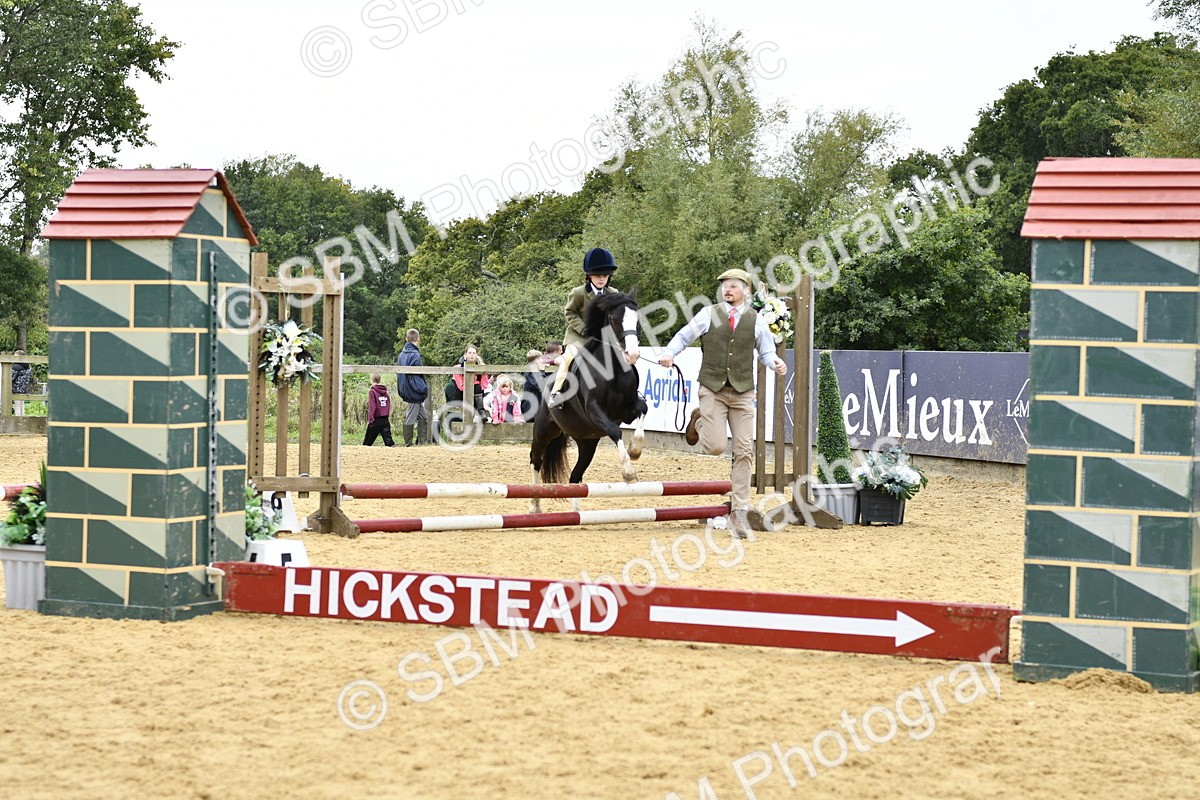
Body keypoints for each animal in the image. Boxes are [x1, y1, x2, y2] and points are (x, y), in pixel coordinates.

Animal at [529, 291, 648, 512]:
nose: (633, 354)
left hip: (587, 442)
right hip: (544, 429)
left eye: (637, 320)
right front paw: (628, 472)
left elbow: (642, 409)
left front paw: (635, 450)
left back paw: (575, 512)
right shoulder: (594, 410)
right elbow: (615, 431)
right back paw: (535, 504)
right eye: (615, 319)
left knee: (575, 476)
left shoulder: (627, 410)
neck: (613, 370)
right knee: (535, 459)